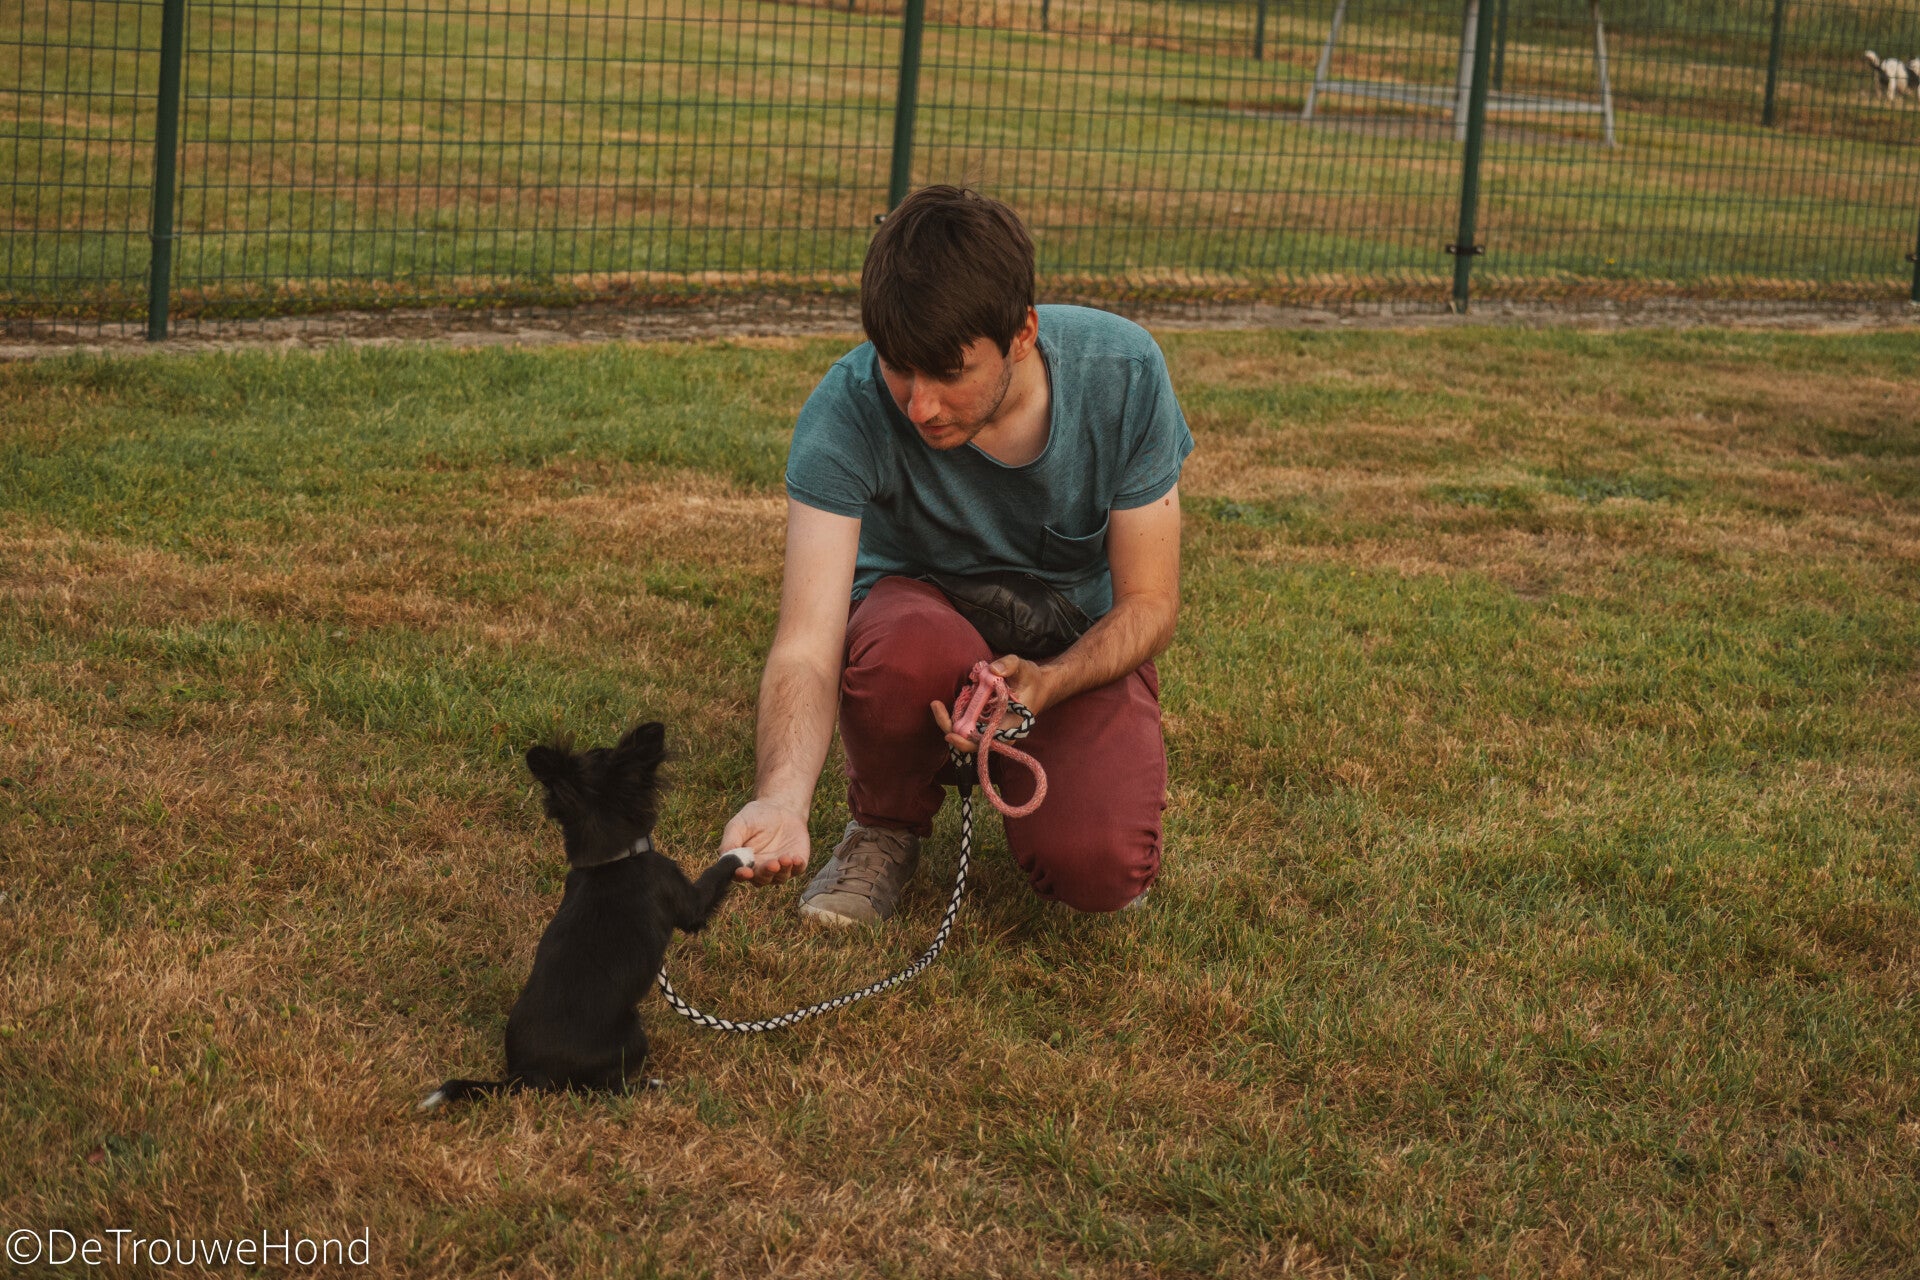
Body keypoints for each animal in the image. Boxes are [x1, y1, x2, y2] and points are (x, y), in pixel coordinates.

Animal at [419, 722, 750, 1109]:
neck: (610, 859)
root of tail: (527, 1073)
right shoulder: (685, 899)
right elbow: (717, 873)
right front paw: (743, 853)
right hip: (632, 1036)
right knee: (607, 1087)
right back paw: (650, 1084)